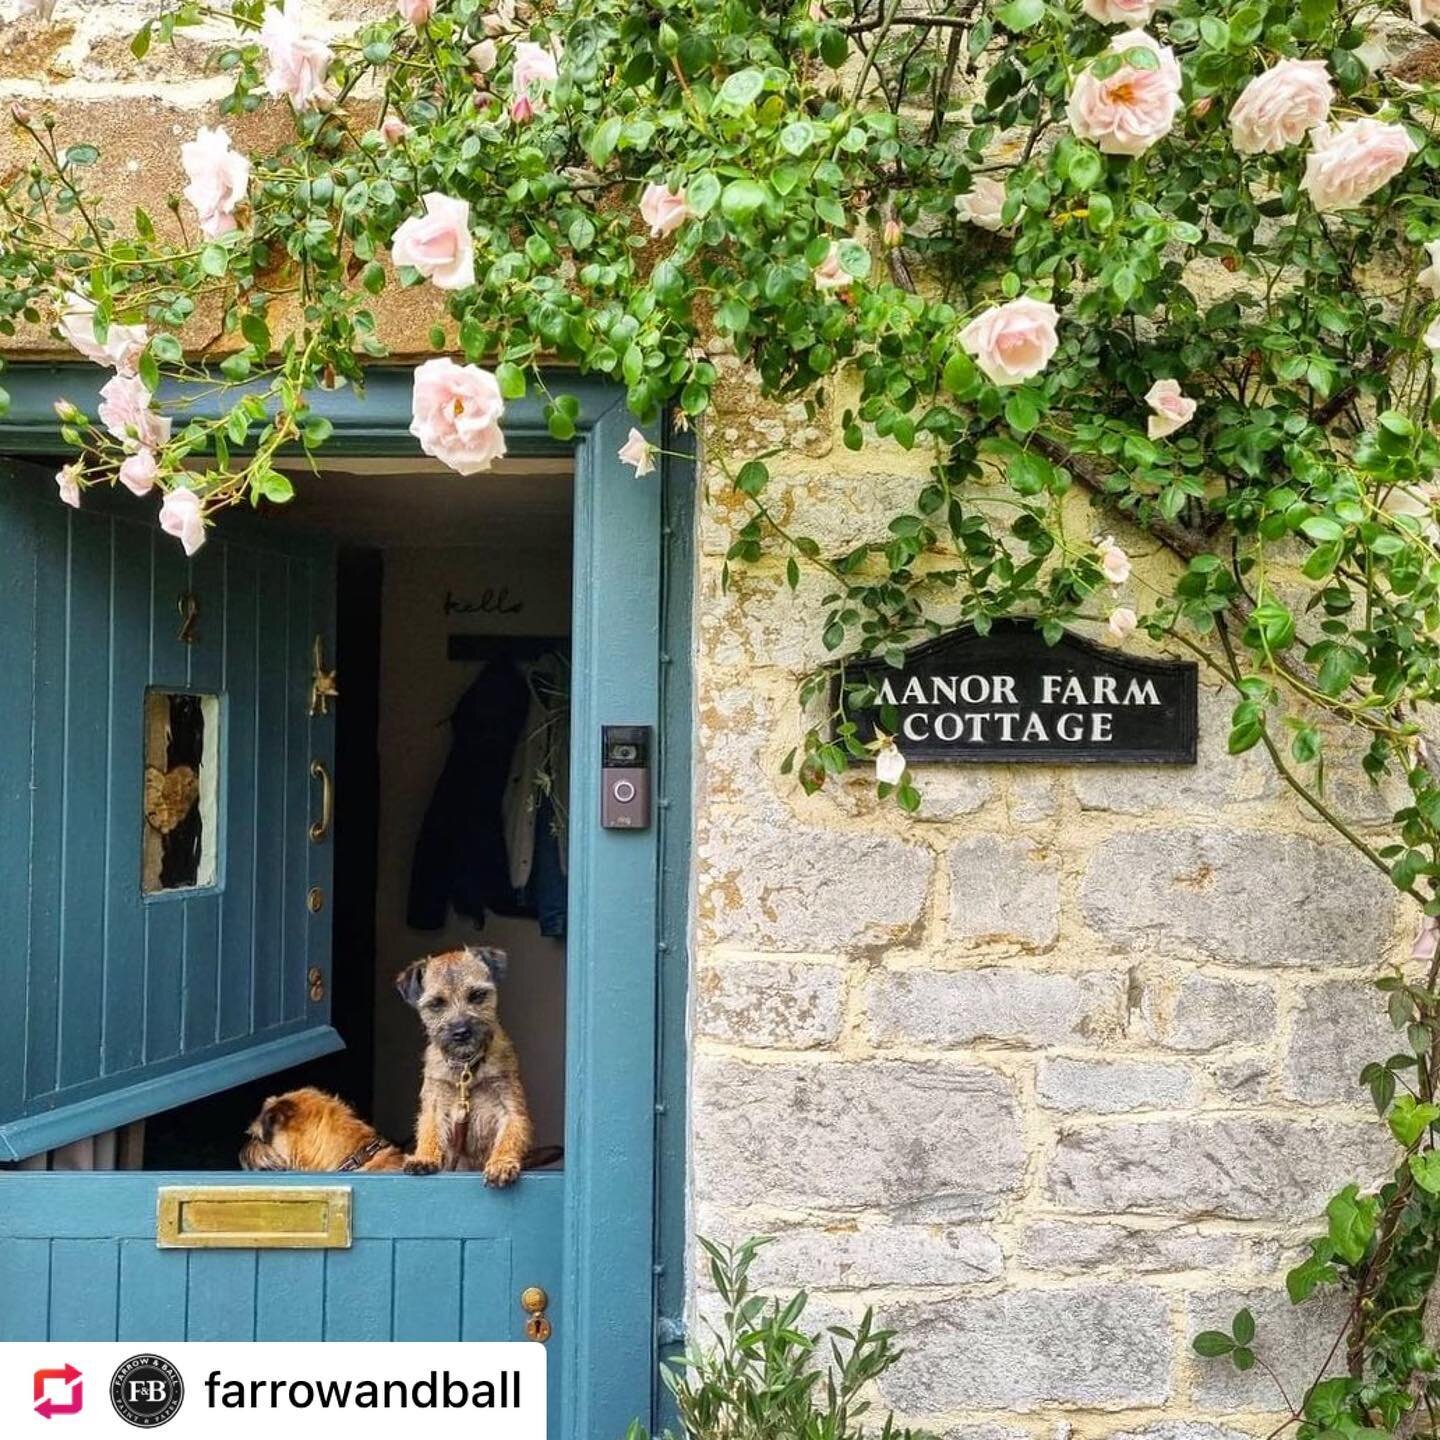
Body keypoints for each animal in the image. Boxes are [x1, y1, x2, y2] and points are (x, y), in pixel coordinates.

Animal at [394, 944, 535, 1180]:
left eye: (477, 995)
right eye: (436, 1004)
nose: (461, 1032)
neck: (466, 1067)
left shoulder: (510, 1105)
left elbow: (510, 1135)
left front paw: (501, 1163)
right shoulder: (435, 1102)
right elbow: (429, 1130)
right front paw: (424, 1156)